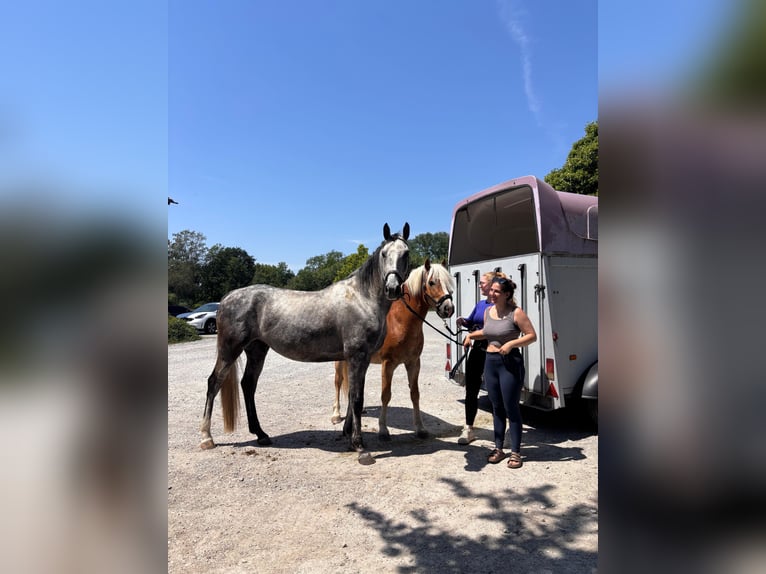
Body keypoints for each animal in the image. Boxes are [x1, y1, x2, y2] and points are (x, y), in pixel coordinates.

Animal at [200, 223, 410, 464]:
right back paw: (206, 438)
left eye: (406, 253)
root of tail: (226, 298)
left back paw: (261, 435)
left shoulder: (361, 359)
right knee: (214, 383)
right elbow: (357, 399)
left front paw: (348, 437)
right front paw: (360, 447)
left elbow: (352, 397)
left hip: (257, 350)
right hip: (229, 350)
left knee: (248, 385)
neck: (362, 299)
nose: (392, 288)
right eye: (384, 254)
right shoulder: (357, 356)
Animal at [332, 259, 455, 440]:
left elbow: (415, 394)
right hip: (340, 361)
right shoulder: (388, 364)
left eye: (449, 283)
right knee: (338, 382)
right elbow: (386, 395)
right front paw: (383, 430)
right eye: (432, 282)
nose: (448, 308)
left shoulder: (413, 363)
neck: (401, 322)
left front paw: (420, 429)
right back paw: (335, 414)